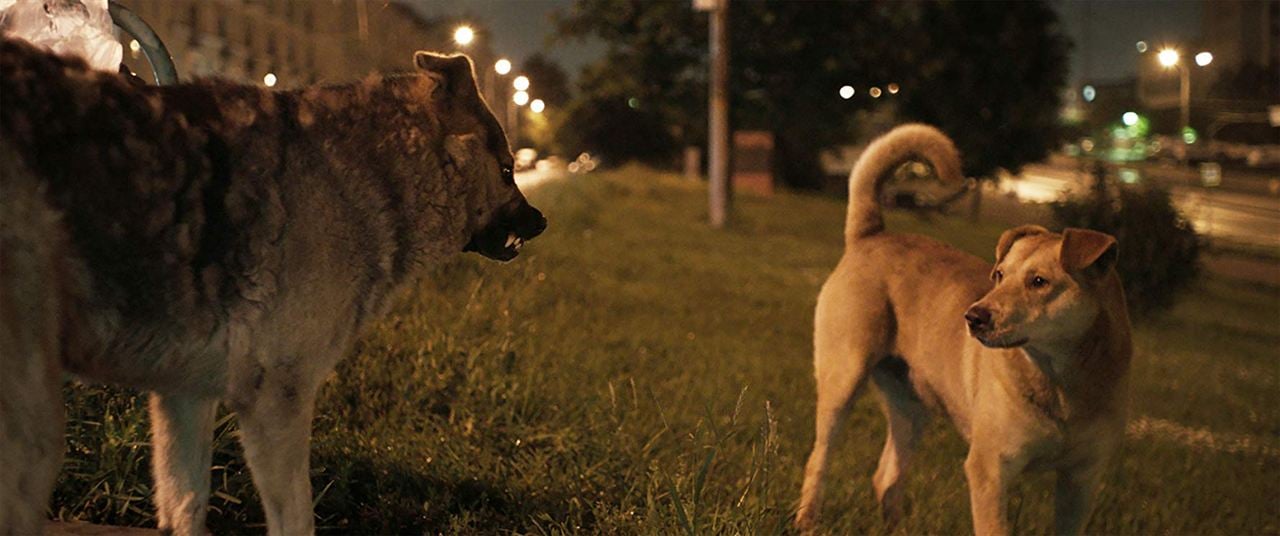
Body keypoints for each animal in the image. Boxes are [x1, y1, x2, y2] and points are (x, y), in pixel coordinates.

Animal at [793, 124, 1136, 534]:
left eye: (1038, 281)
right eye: (999, 275)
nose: (973, 317)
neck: (1060, 382)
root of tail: (872, 235)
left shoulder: (1081, 481)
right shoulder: (990, 469)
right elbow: (995, 526)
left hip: (911, 407)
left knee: (887, 475)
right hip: (843, 380)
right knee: (819, 458)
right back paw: (807, 519)